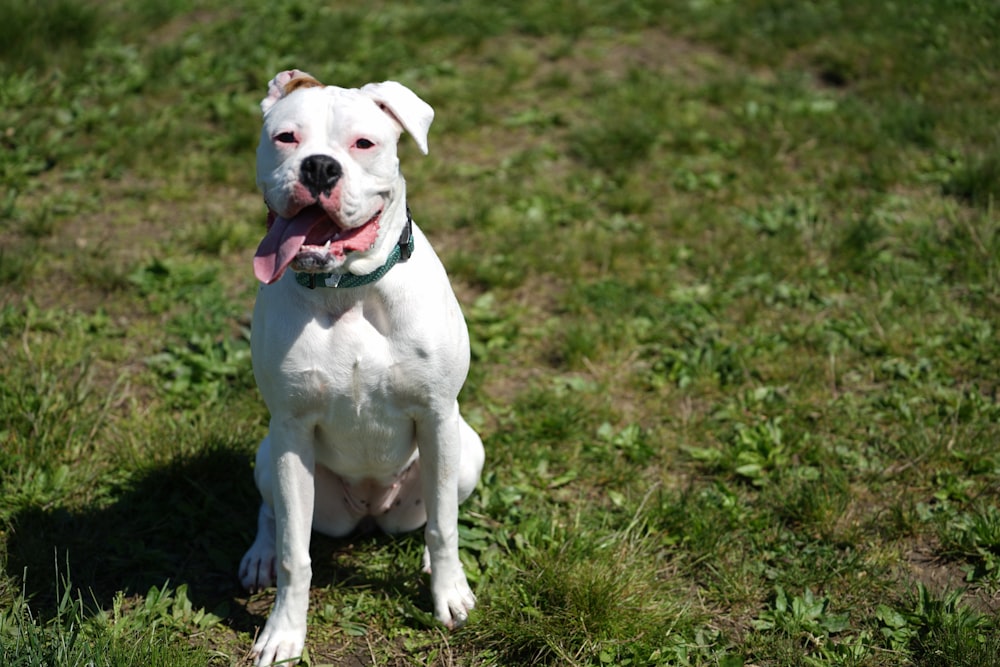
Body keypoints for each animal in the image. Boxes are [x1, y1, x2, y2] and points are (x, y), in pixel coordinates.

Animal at [236, 70, 482, 664]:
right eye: (286, 138)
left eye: (363, 144)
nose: (320, 167)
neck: (346, 289)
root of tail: (370, 511)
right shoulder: (292, 431)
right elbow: (295, 555)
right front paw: (282, 632)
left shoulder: (437, 416)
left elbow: (444, 526)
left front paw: (448, 593)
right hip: (270, 455)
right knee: (272, 513)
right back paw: (260, 554)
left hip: (466, 449)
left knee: (439, 512)